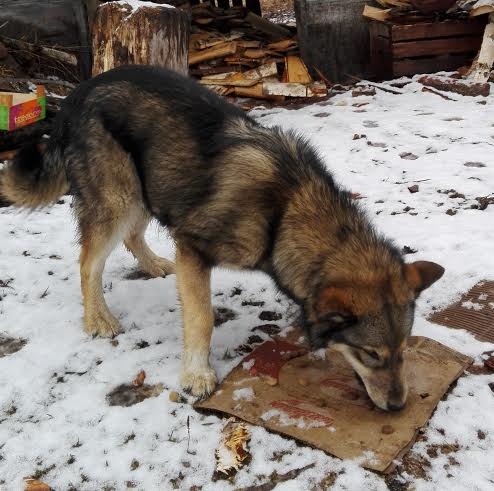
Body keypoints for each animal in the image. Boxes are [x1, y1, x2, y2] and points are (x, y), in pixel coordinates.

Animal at [0, 65, 446, 412]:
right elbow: (202, 319)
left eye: (403, 351)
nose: (398, 406)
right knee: (88, 262)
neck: (285, 210)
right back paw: (98, 319)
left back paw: (152, 264)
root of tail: (76, 94)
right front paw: (197, 374)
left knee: (131, 238)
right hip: (119, 199)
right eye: (370, 354)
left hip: (151, 187)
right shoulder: (193, 250)